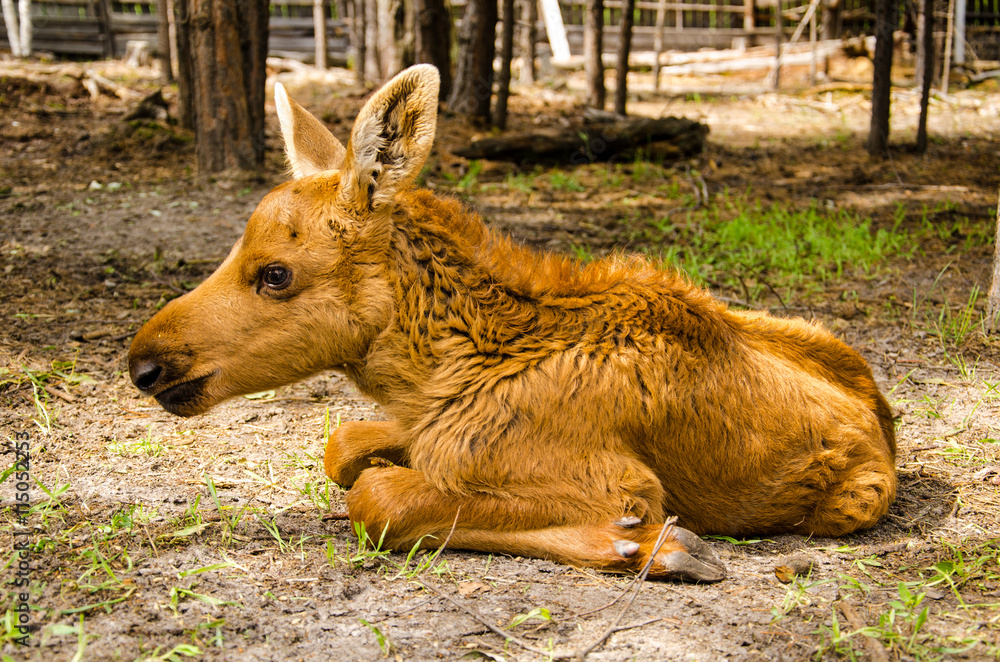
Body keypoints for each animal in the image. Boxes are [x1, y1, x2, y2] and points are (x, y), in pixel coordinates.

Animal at [128, 65, 897, 582]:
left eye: (275, 273)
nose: (145, 362)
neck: (441, 368)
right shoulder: (424, 431)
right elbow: (343, 445)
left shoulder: (614, 479)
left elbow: (377, 499)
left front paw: (653, 543)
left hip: (853, 502)